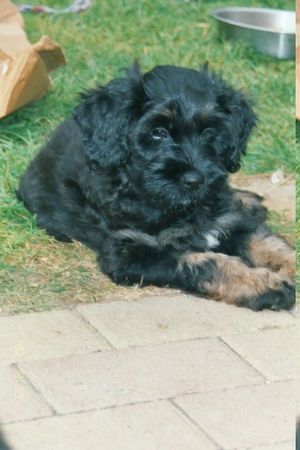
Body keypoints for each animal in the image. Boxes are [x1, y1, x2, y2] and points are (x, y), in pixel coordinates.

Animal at [17, 62, 296, 310]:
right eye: (158, 132)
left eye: (210, 132)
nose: (195, 180)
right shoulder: (131, 252)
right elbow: (208, 262)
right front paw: (263, 285)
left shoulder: (228, 221)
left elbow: (267, 243)